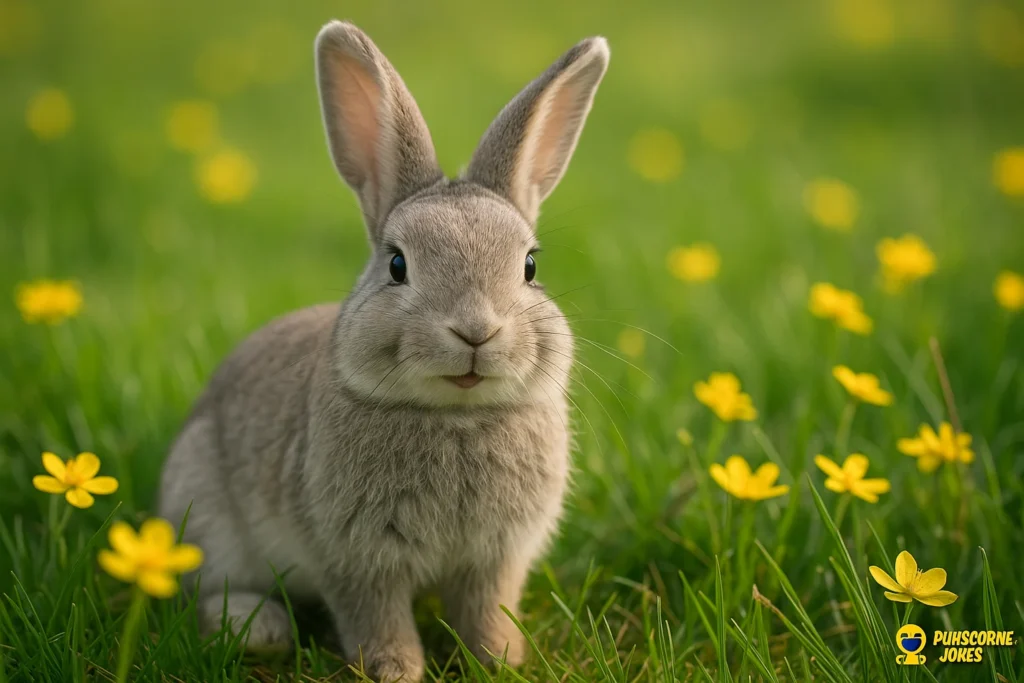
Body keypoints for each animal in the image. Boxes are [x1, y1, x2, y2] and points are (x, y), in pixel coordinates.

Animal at [158, 20, 609, 683]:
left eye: (529, 266)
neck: (456, 417)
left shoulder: (497, 556)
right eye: (397, 265)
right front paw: (394, 668)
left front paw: (500, 659)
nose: (476, 331)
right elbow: (376, 614)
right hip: (206, 513)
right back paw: (259, 628)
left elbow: (487, 608)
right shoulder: (357, 556)